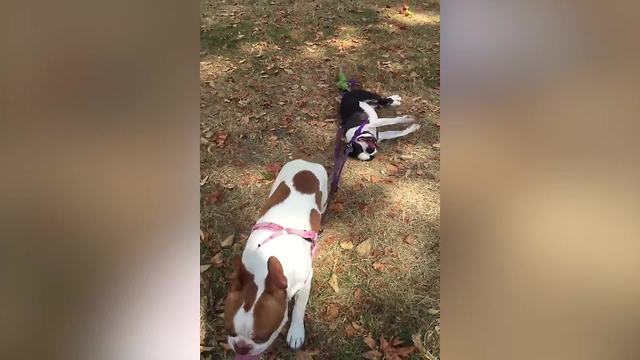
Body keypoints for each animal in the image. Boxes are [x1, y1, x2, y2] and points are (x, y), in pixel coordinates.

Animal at [224, 160, 328, 358]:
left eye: (262, 337)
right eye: (230, 332)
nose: (241, 347)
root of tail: (306, 163)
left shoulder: (306, 282)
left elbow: (299, 307)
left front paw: (296, 332)